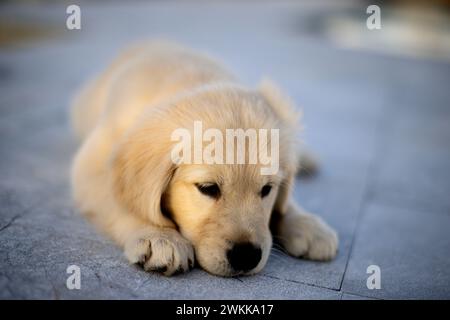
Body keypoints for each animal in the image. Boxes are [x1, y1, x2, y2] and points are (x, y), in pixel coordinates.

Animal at [70, 42, 338, 278]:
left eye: (267, 189)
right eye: (208, 188)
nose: (247, 257)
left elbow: (286, 203)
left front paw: (308, 225)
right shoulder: (92, 163)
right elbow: (121, 200)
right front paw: (160, 237)